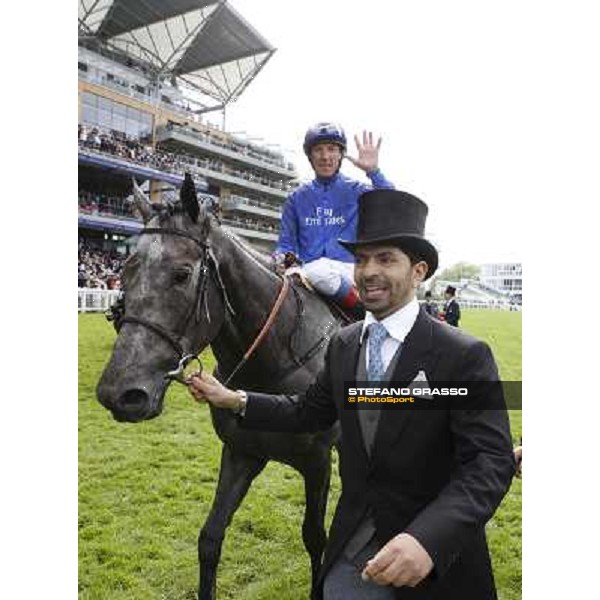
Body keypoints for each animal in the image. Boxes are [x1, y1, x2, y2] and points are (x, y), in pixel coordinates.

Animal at [98, 173, 342, 600]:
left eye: (182, 274)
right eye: (125, 273)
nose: (120, 393)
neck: (277, 359)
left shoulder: (317, 462)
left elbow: (315, 538)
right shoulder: (242, 452)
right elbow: (210, 537)